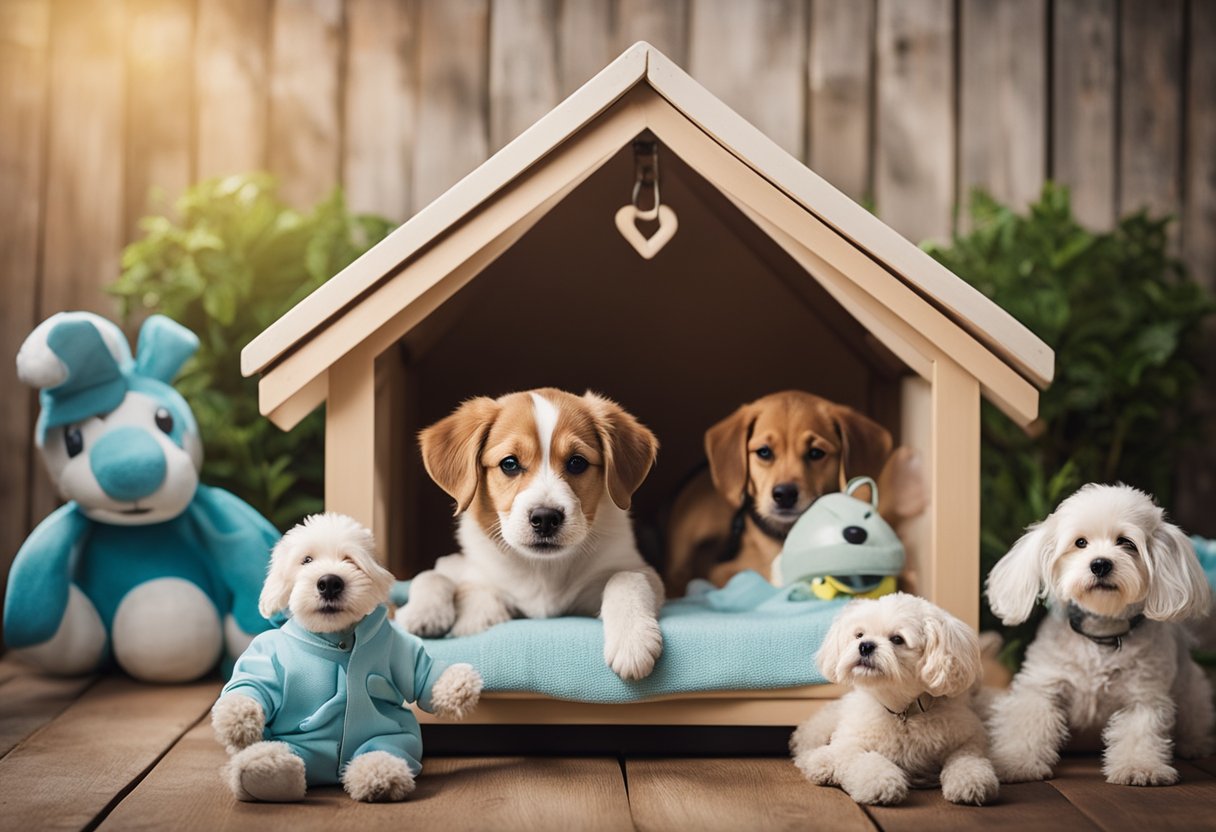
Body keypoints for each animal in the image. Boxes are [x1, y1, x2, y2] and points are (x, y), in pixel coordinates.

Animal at [211, 515, 481, 802]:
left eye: (350, 560)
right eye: (306, 560)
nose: (329, 582)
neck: (336, 639)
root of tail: (330, 770)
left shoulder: (397, 648)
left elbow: (423, 673)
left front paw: (460, 684)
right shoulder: (266, 656)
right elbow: (251, 684)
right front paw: (236, 719)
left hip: (393, 734)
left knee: (385, 747)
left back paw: (379, 774)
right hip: (297, 742)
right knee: (287, 751)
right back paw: (266, 772)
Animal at [396, 386, 666, 681]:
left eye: (577, 463)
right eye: (510, 464)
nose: (545, 518)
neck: (542, 569)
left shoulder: (633, 570)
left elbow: (625, 578)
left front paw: (633, 643)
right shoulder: (467, 566)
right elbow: (433, 574)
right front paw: (429, 614)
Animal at [787, 591, 997, 807]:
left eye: (897, 639)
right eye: (859, 635)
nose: (865, 646)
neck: (901, 711)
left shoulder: (969, 738)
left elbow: (967, 759)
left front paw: (971, 782)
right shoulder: (851, 744)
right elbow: (867, 761)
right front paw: (882, 784)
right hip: (821, 729)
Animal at [987, 481, 1216, 788]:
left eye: (1127, 543)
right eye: (1080, 543)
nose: (1100, 564)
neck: (1102, 633)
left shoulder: (1143, 697)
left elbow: (1140, 733)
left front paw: (1140, 767)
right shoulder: (1042, 686)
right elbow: (1028, 723)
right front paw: (1016, 762)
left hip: (1191, 690)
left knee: (1195, 720)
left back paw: (1195, 745)